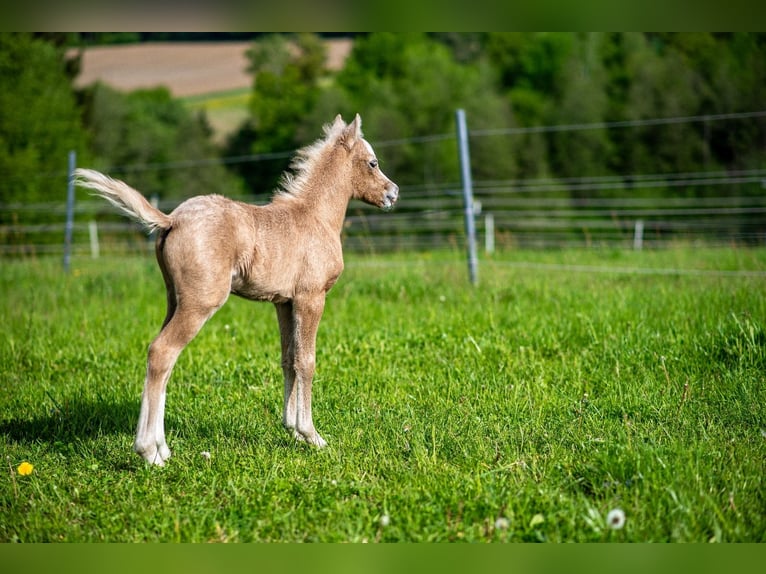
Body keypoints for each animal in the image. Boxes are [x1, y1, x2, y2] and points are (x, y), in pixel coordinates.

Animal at [76, 115, 402, 466]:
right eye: (373, 162)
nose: (393, 193)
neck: (315, 217)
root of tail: (171, 219)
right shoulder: (311, 297)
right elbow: (307, 360)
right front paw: (312, 435)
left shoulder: (284, 302)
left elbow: (288, 359)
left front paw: (292, 430)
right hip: (200, 303)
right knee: (162, 352)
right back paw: (149, 452)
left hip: (174, 300)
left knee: (163, 359)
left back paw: (162, 448)